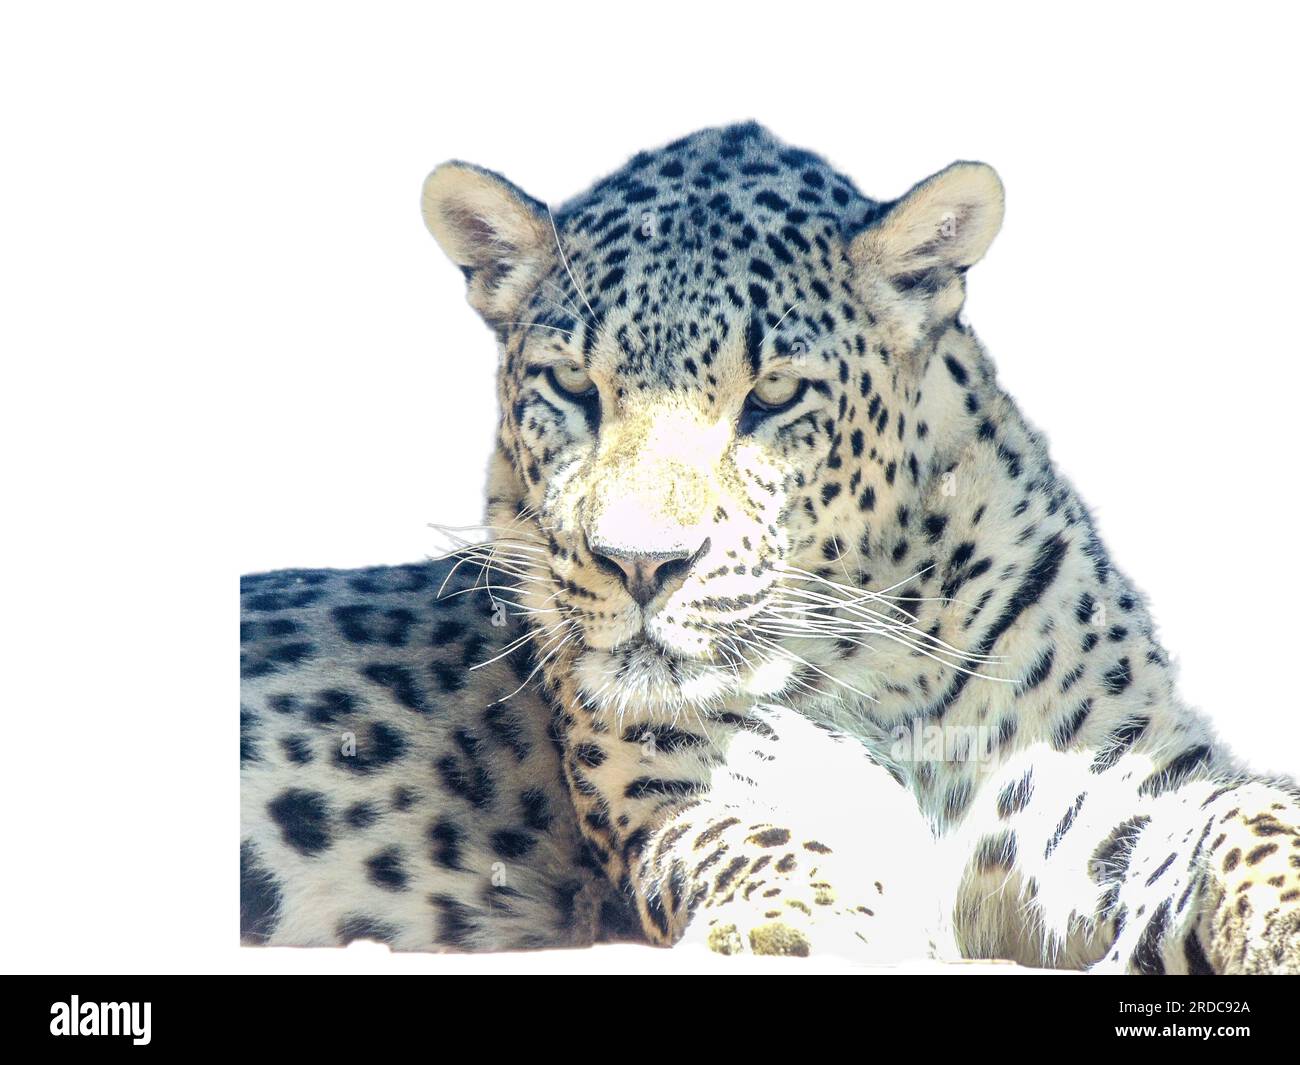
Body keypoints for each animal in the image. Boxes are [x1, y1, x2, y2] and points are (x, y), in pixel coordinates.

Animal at [241, 122, 1300, 971]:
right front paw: (785, 933)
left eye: (775, 395)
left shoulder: (1098, 776)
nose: (640, 565)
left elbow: (1242, 812)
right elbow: (779, 841)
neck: (895, 660)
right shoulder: (698, 784)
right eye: (573, 386)